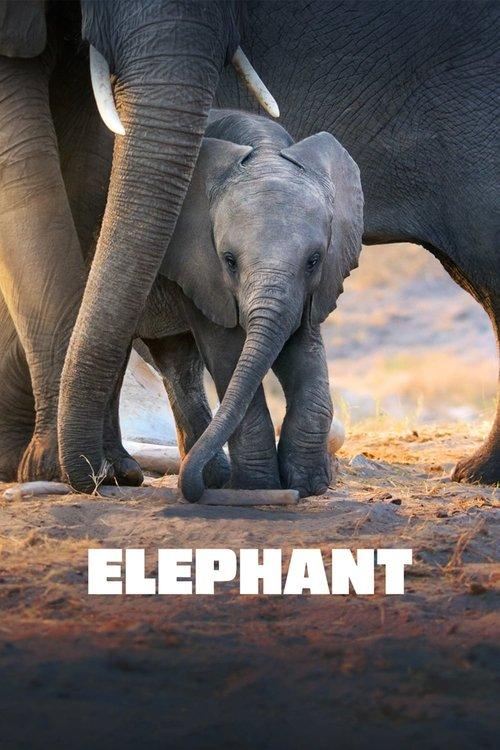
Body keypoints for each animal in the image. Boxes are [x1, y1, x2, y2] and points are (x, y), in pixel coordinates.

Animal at [133, 109, 363, 500]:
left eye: (314, 260)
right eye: (229, 261)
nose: (191, 490)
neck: (264, 150)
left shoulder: (312, 289)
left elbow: (303, 349)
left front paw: (309, 486)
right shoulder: (199, 265)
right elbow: (228, 351)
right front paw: (258, 488)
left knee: (177, 363)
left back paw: (212, 478)